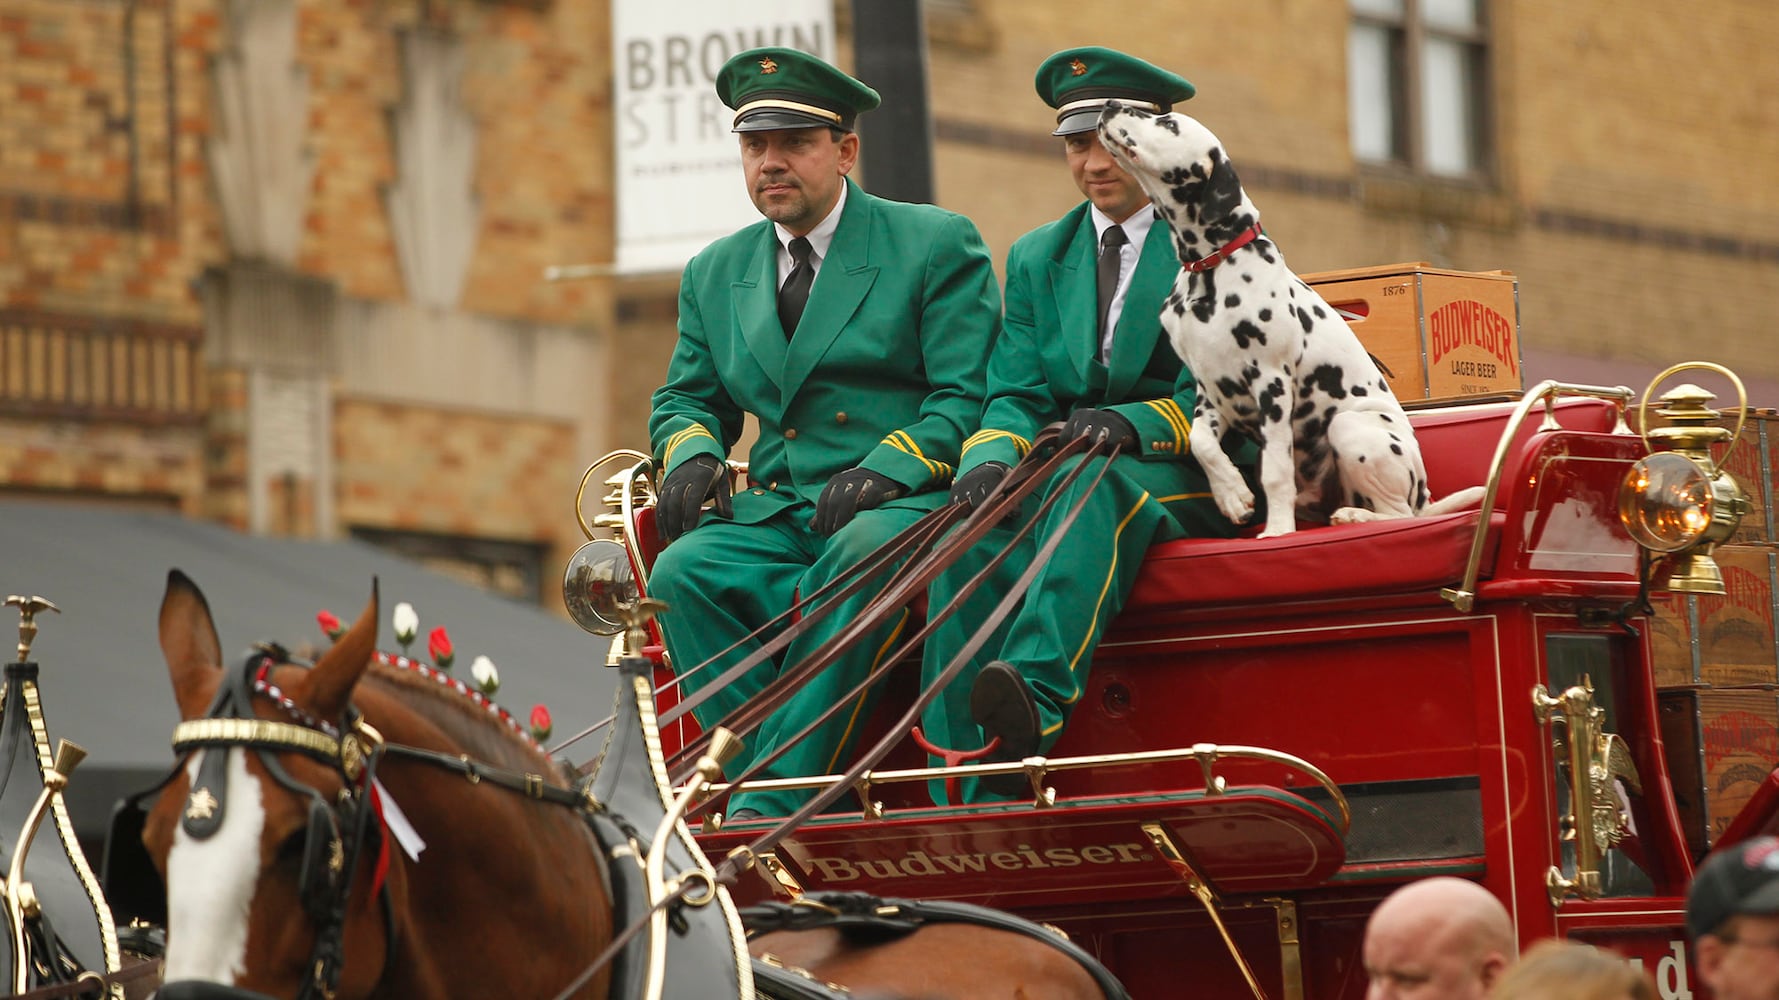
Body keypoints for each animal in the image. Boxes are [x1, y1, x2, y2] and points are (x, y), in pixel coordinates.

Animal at [1095, 101, 1487, 533]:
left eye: (1167, 122)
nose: (1110, 104)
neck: (1212, 268)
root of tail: (1424, 495)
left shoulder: (1271, 382)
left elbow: (1276, 473)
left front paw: (1278, 531)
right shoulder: (1209, 390)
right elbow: (1201, 442)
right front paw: (1232, 494)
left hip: (1350, 427)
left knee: (1398, 515)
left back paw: (1354, 516)